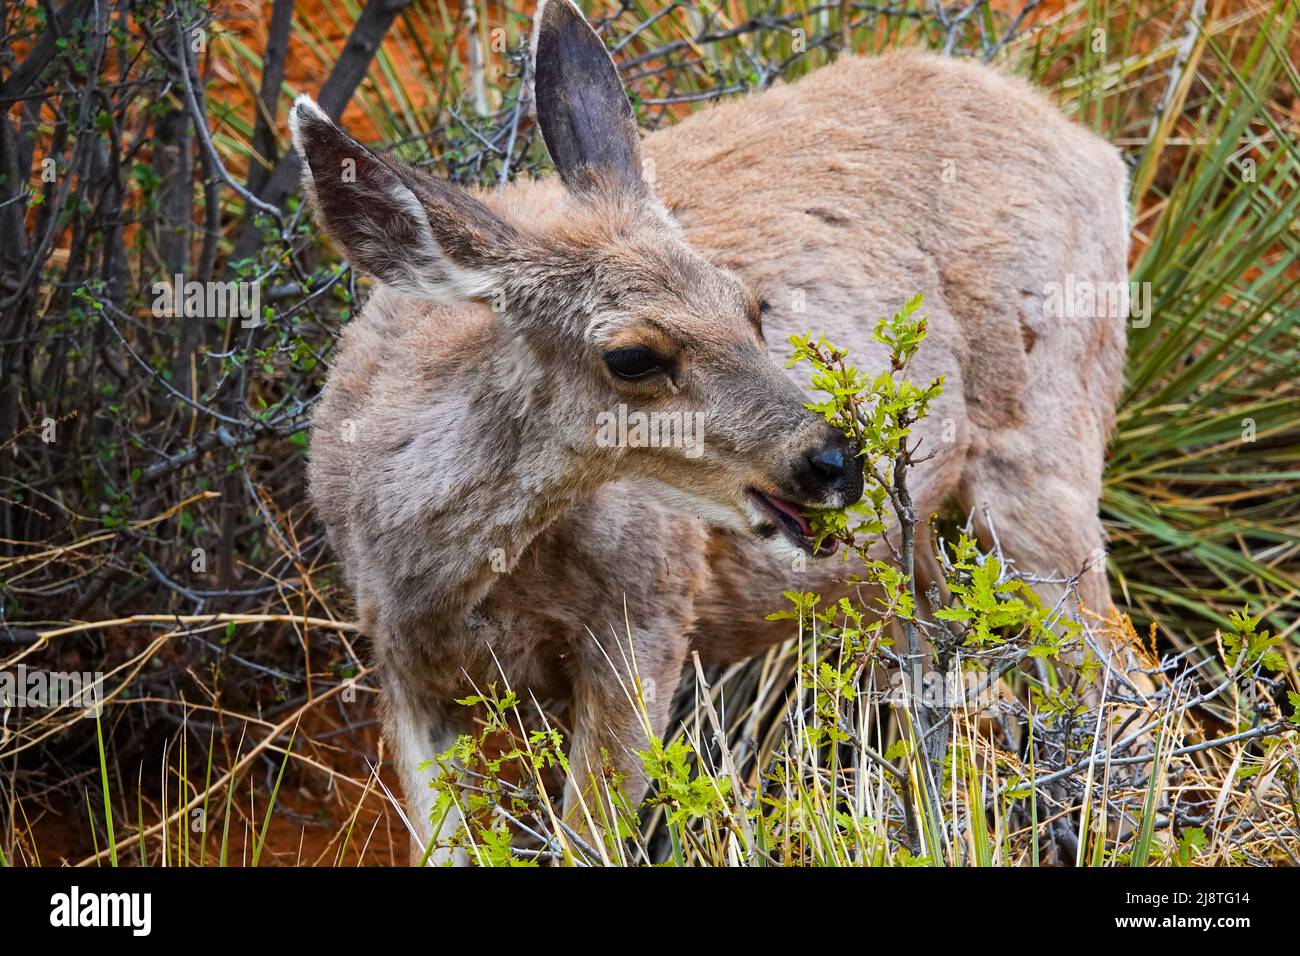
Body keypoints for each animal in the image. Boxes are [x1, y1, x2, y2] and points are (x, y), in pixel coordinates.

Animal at [290, 0, 1134, 864]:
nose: (834, 460)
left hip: (1041, 444)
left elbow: (590, 837)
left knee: (1121, 676)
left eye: (751, 307)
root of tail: (1095, 147)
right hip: (911, 549)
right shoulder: (402, 666)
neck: (443, 571)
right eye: (631, 356)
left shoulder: (647, 616)